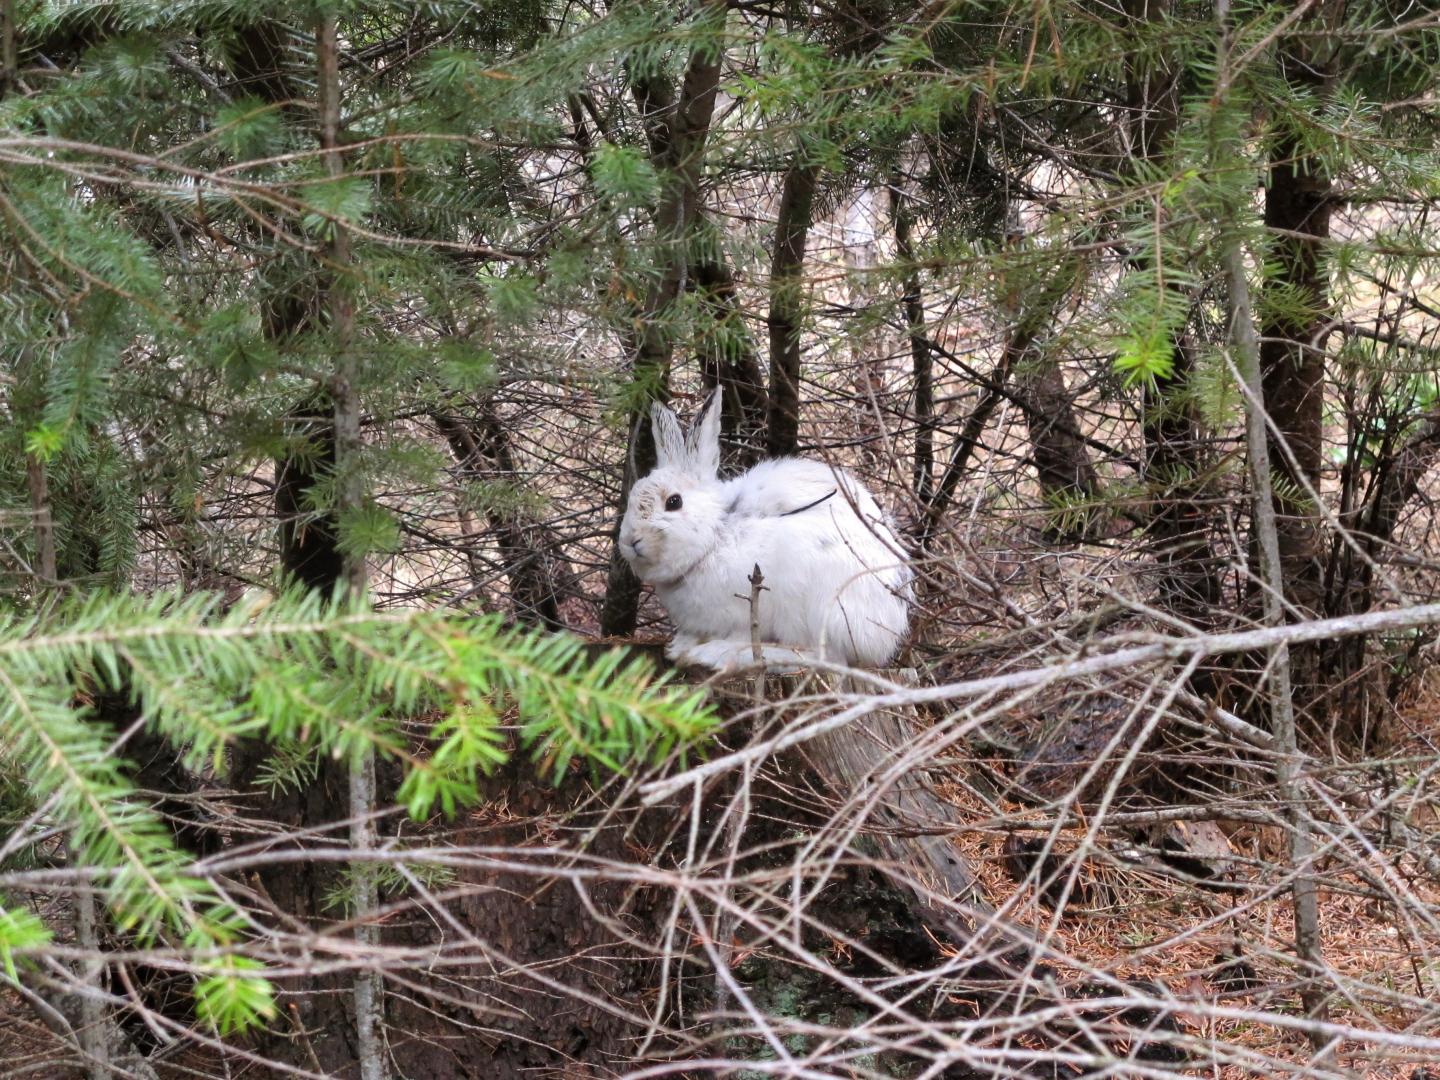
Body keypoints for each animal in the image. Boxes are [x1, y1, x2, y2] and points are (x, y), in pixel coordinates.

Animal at [618, 392, 912, 671]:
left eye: (674, 502)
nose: (630, 540)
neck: (715, 535)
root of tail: (886, 635)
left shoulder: (742, 612)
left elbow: (740, 635)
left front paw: (706, 651)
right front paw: (678, 647)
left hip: (816, 608)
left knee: (826, 659)